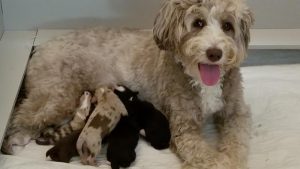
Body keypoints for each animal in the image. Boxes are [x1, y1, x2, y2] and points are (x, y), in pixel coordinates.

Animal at [2, 0, 253, 168]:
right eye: (198, 23)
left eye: (228, 26)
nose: (214, 53)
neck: (203, 82)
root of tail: (40, 47)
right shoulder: (184, 129)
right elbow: (207, 156)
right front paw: (220, 162)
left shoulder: (236, 113)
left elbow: (237, 143)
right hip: (56, 96)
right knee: (20, 118)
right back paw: (12, 144)